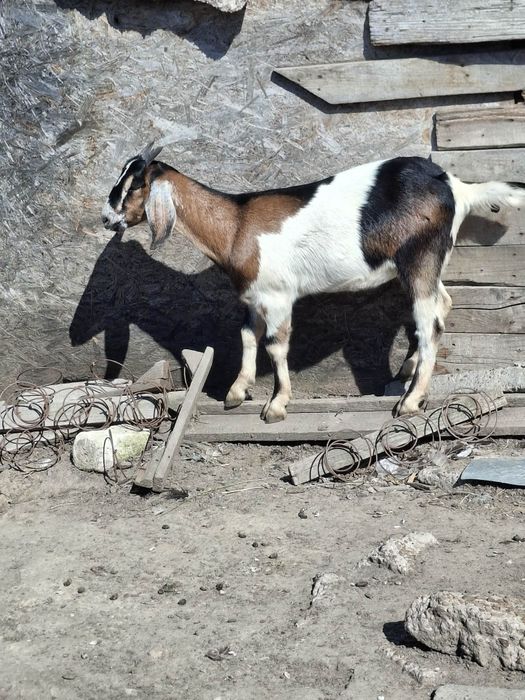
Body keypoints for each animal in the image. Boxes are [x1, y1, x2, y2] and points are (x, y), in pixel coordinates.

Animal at [102, 142, 525, 423]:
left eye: (134, 185)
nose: (107, 218)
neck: (237, 225)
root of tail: (457, 186)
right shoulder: (254, 297)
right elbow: (247, 337)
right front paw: (237, 392)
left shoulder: (277, 297)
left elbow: (276, 345)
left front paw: (276, 405)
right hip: (428, 263)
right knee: (442, 304)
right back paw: (406, 370)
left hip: (420, 257)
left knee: (430, 323)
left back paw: (410, 400)